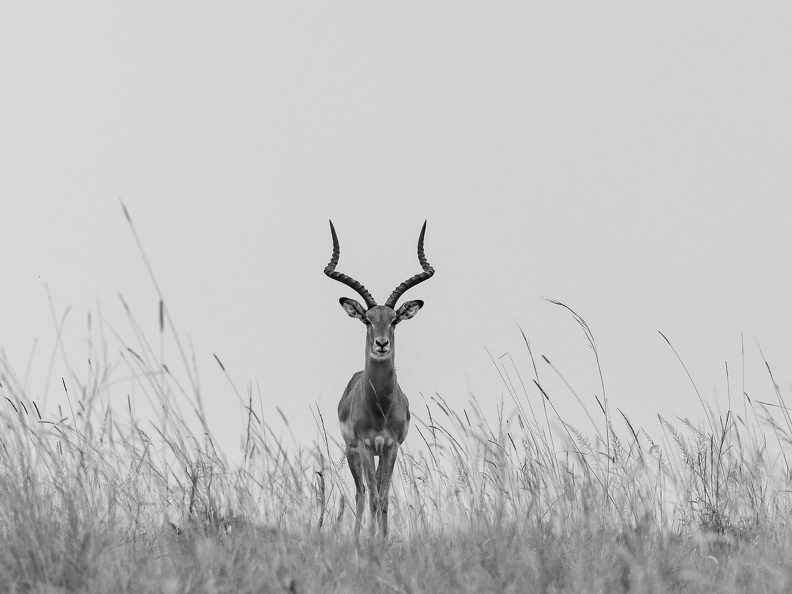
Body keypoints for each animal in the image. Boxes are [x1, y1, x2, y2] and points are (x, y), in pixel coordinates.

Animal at [325, 220, 434, 538]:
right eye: (367, 320)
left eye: (394, 319)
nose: (381, 344)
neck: (379, 405)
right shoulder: (363, 447)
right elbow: (372, 495)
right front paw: (371, 540)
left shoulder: (390, 447)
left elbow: (384, 496)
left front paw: (383, 540)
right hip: (353, 453)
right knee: (361, 492)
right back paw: (358, 537)